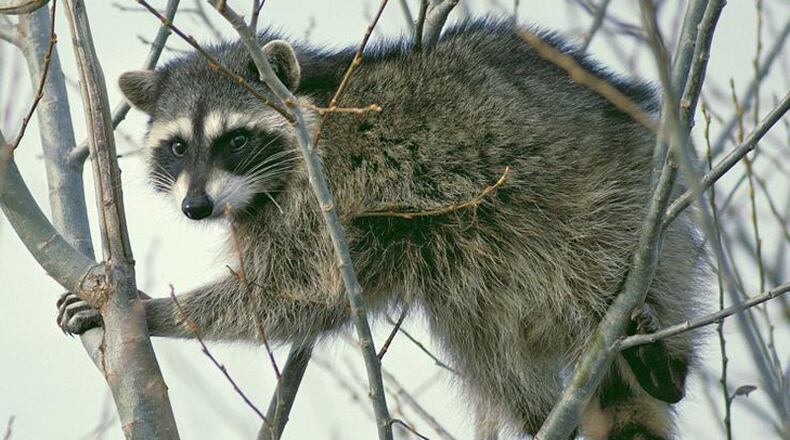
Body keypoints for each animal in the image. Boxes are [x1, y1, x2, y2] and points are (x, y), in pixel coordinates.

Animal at [58, 20, 709, 440]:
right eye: (176, 147)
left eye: (235, 140)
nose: (196, 207)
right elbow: (300, 299)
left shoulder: (325, 194)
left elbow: (291, 291)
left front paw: (154, 311)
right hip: (469, 273)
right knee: (482, 339)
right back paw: (540, 414)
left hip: (617, 200)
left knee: (599, 260)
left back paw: (664, 361)